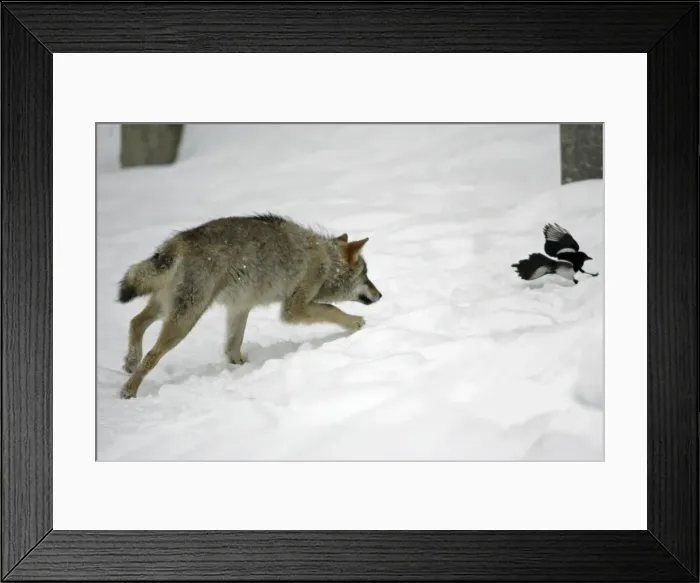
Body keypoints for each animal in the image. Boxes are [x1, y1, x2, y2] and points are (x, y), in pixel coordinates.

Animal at [116, 213, 382, 399]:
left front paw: (242, 367)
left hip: (168, 309)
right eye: (366, 275)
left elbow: (233, 346)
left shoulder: (240, 307)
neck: (327, 261)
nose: (380, 295)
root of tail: (180, 240)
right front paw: (356, 323)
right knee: (151, 355)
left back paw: (130, 362)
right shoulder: (293, 309)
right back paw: (129, 390)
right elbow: (332, 309)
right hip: (186, 319)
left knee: (135, 322)